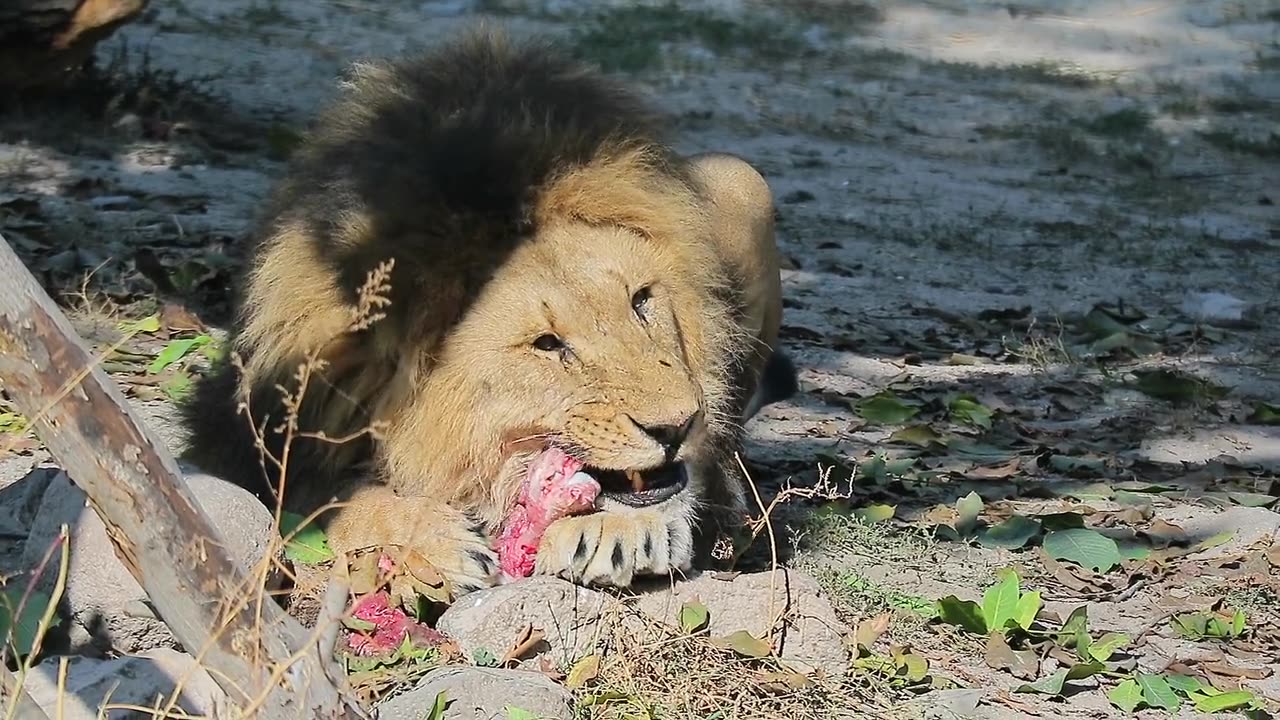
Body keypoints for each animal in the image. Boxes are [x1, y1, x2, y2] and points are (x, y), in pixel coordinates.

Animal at [179, 29, 793, 594]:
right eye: (547, 344)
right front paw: (426, 540)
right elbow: (326, 497)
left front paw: (618, 530)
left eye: (641, 300)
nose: (678, 425)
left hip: (739, 176)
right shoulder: (250, 430)